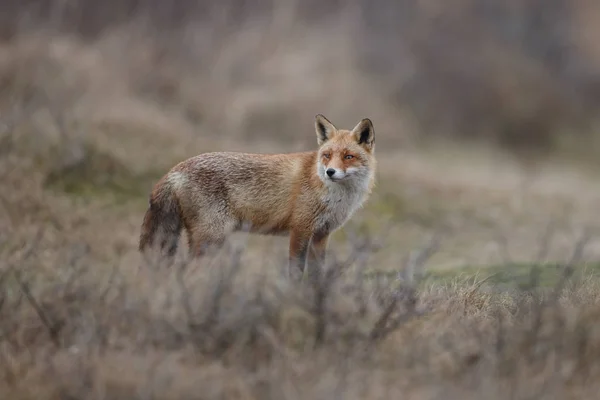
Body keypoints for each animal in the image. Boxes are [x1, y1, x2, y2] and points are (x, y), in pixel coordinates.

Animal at [139, 114, 378, 280]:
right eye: (327, 155)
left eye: (348, 157)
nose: (330, 172)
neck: (335, 197)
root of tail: (174, 170)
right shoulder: (300, 230)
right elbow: (295, 272)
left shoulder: (321, 235)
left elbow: (316, 276)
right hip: (212, 238)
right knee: (187, 271)